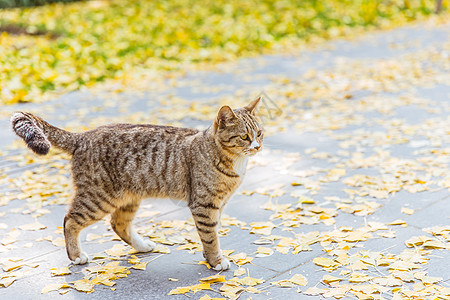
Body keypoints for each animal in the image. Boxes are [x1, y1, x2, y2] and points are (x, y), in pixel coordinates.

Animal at [9, 97, 264, 270]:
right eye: (244, 137)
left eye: (260, 133)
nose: (258, 146)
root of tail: (84, 136)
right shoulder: (204, 204)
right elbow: (210, 237)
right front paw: (216, 260)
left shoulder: (217, 205)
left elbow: (211, 232)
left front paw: (209, 257)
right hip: (98, 198)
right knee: (69, 220)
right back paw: (76, 255)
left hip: (128, 198)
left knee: (118, 224)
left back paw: (142, 245)